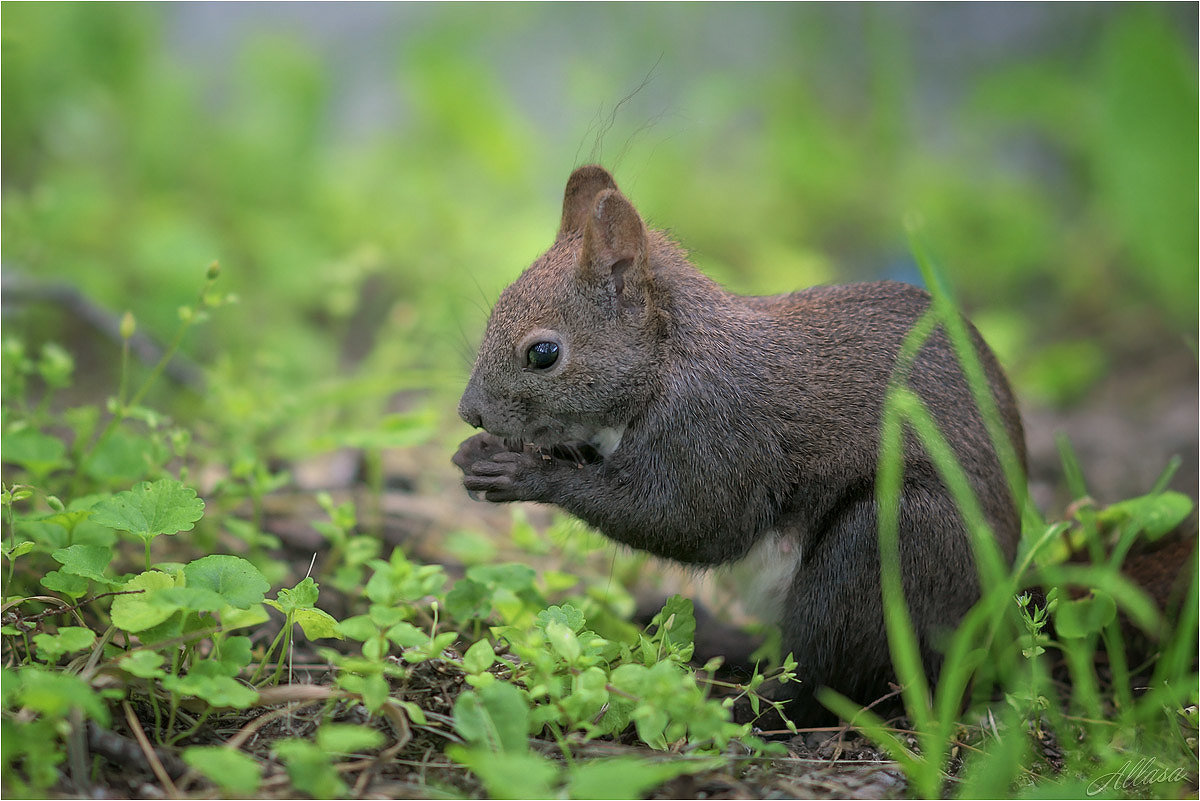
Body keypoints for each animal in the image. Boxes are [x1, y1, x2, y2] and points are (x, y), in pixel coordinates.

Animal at [451, 165, 1022, 724]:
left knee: (824, 679)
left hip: (890, 547)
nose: (469, 411)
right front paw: (478, 452)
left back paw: (734, 706)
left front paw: (524, 475)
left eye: (543, 353)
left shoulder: (714, 433)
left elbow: (684, 521)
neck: (668, 357)